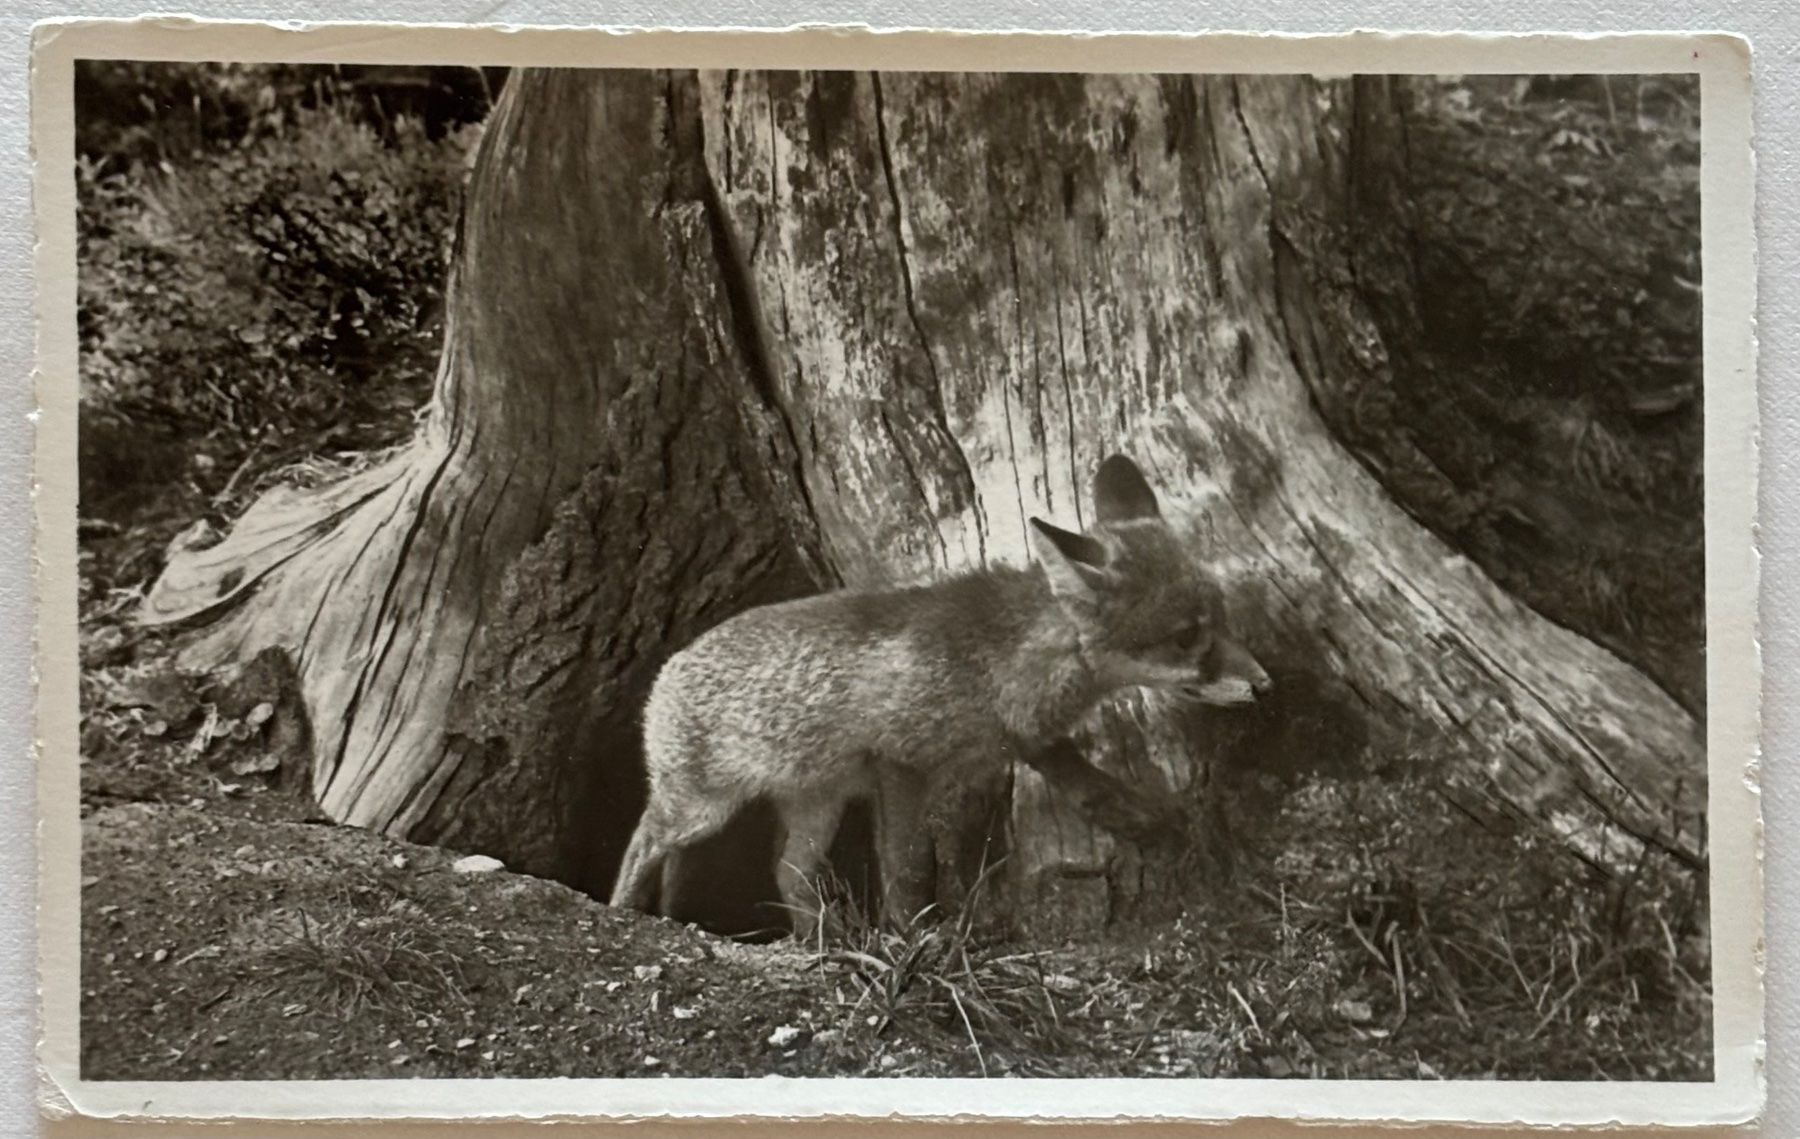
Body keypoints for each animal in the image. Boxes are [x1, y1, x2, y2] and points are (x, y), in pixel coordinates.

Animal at [609, 454, 1273, 936]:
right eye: (1186, 637)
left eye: (1221, 618)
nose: (1266, 683)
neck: (997, 663)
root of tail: (671, 666)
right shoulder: (898, 762)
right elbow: (907, 868)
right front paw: (912, 937)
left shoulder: (1020, 734)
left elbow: (1085, 781)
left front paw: (1149, 819)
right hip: (700, 809)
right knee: (643, 841)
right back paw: (622, 912)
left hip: (815, 802)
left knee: (789, 874)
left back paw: (825, 944)